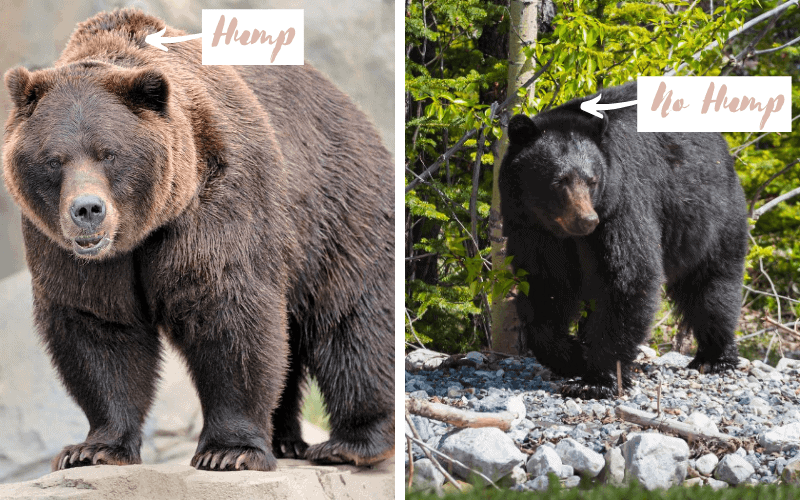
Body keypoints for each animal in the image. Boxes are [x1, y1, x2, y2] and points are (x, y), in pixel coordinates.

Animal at [2, 9, 394, 471]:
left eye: (109, 153)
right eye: (54, 160)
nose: (87, 210)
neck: (142, 231)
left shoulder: (218, 199)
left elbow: (228, 311)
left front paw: (229, 451)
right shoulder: (62, 247)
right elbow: (98, 328)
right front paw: (93, 448)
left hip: (335, 212)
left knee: (352, 322)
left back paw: (351, 443)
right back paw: (286, 440)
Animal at [499, 81, 748, 400]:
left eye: (592, 180)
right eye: (559, 180)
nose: (587, 220)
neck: (562, 232)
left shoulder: (621, 205)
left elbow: (627, 277)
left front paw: (597, 380)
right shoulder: (532, 228)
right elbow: (546, 285)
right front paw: (573, 356)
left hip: (711, 216)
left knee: (712, 287)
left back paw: (715, 357)